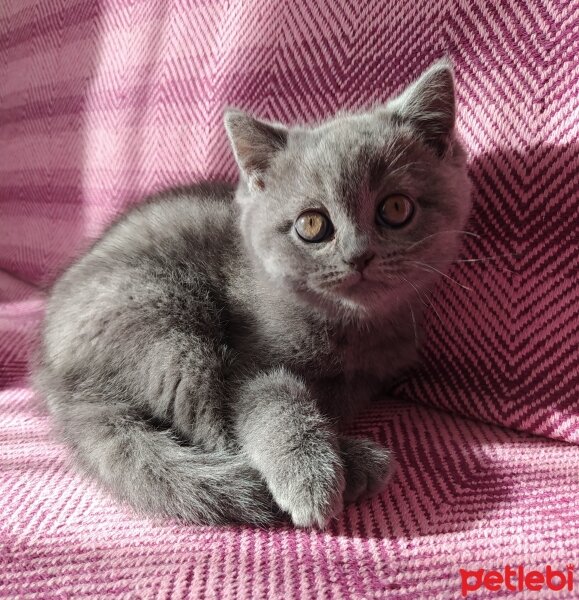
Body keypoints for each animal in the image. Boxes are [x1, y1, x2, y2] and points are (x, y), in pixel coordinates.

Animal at [34, 59, 474, 528]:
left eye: (395, 208)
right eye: (312, 225)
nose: (358, 256)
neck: (349, 332)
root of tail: (56, 376)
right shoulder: (247, 361)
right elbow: (269, 401)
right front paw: (311, 476)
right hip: (166, 313)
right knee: (209, 423)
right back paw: (357, 464)